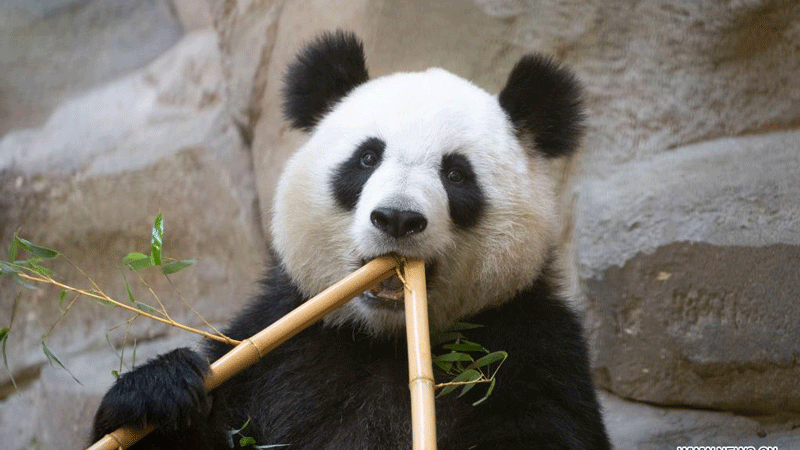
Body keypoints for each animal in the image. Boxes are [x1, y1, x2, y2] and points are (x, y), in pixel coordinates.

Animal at [91, 31, 611, 450]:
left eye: (456, 174)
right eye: (366, 158)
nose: (398, 218)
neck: (388, 343)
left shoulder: (531, 356)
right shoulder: (276, 352)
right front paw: (157, 391)